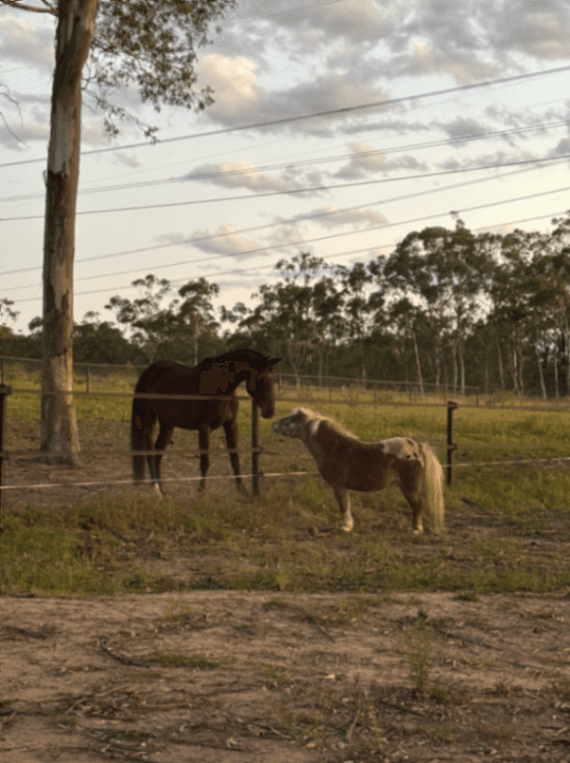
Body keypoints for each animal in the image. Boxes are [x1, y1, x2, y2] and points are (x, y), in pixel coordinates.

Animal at [131, 349, 281, 495]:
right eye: (260, 378)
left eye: (274, 379)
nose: (270, 411)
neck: (220, 387)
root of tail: (153, 369)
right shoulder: (204, 428)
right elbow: (205, 461)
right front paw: (202, 491)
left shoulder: (231, 425)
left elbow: (234, 458)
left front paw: (242, 491)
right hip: (150, 417)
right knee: (150, 452)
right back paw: (155, 488)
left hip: (167, 424)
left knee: (158, 453)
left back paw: (161, 489)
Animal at [272, 407, 445, 534]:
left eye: (290, 420)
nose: (272, 424)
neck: (336, 449)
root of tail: (418, 447)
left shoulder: (338, 486)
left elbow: (343, 506)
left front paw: (345, 527)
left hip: (410, 487)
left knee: (418, 505)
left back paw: (416, 530)